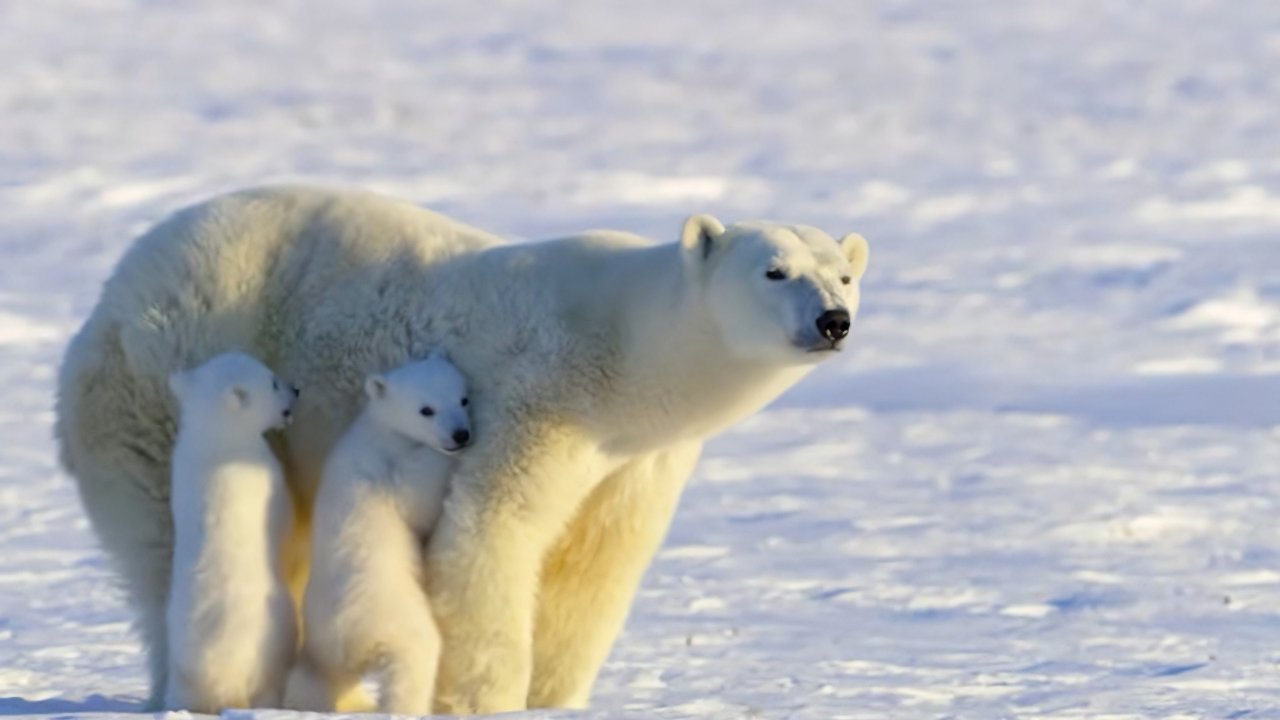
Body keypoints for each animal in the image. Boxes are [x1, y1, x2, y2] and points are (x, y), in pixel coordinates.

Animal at [164, 352, 298, 712]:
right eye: (273, 382)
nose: (296, 389)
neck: (214, 439)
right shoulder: (259, 473)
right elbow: (283, 514)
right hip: (271, 628)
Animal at [284, 350, 472, 715]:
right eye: (426, 409)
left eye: (463, 398)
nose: (461, 434)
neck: (378, 427)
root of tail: (349, 644)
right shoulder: (384, 468)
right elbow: (415, 498)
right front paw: (440, 458)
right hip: (390, 611)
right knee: (415, 655)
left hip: (318, 646)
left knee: (312, 680)